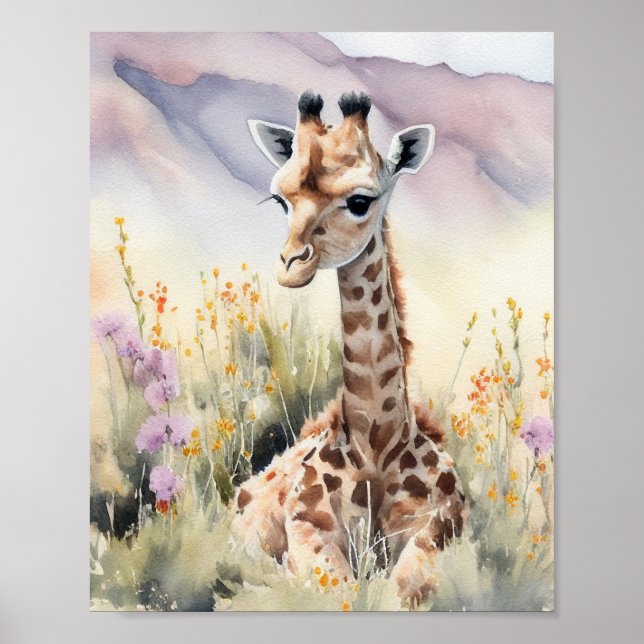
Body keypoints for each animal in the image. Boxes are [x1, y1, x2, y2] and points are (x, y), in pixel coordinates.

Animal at [232, 91, 466, 605]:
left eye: (360, 201)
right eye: (281, 200)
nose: (291, 265)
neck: (376, 442)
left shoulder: (438, 530)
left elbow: (403, 589)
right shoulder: (308, 533)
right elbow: (338, 590)